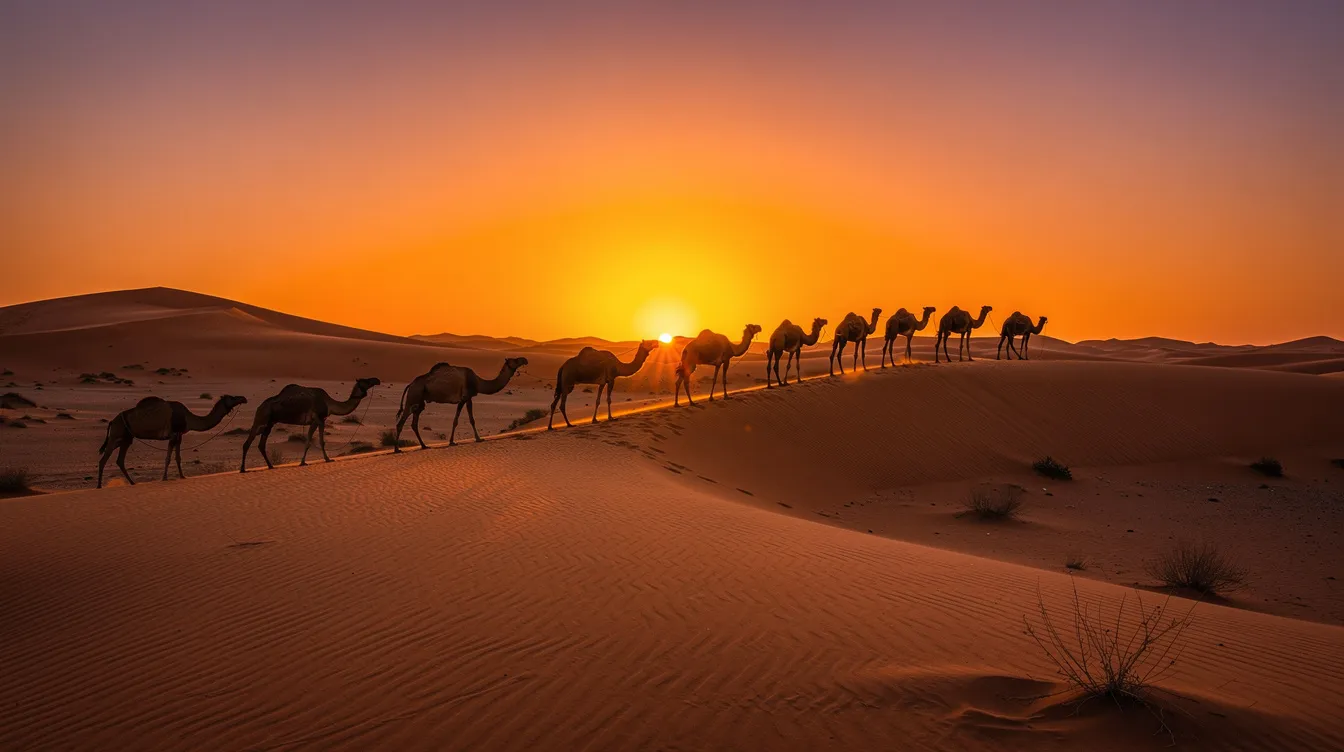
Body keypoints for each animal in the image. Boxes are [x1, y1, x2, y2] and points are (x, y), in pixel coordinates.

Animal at [97, 394, 247, 488]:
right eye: (232, 397)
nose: (244, 398)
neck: (187, 418)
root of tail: (112, 421)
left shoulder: (179, 435)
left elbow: (178, 457)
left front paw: (182, 476)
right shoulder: (173, 434)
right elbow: (168, 458)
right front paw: (164, 478)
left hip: (126, 438)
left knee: (120, 460)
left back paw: (132, 483)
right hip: (116, 435)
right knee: (104, 459)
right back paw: (99, 486)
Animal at [240, 377, 381, 471]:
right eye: (366, 380)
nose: (377, 380)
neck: (329, 404)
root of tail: (259, 407)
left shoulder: (315, 421)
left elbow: (309, 441)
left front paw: (304, 462)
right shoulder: (319, 419)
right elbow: (319, 441)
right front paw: (327, 459)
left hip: (270, 423)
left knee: (261, 444)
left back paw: (270, 466)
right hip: (261, 420)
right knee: (247, 443)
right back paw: (242, 469)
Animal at [394, 357, 528, 449]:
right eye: (515, 360)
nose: (525, 359)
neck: (478, 382)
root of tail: (410, 384)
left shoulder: (463, 399)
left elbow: (456, 420)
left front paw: (452, 441)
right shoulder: (466, 397)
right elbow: (469, 419)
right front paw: (478, 439)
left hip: (419, 402)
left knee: (414, 423)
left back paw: (424, 446)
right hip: (413, 397)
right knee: (401, 422)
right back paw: (397, 449)